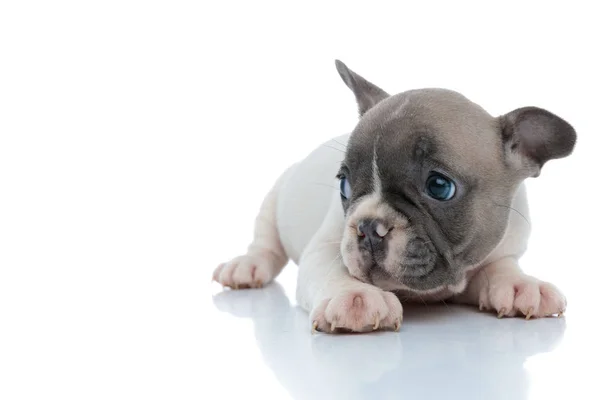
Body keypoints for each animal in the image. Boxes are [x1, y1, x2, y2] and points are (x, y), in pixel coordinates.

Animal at [212, 60, 576, 334]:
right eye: (344, 185)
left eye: (439, 186)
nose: (368, 227)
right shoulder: (326, 246)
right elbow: (332, 267)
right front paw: (355, 295)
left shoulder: (502, 248)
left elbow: (501, 268)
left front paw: (522, 284)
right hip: (274, 198)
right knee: (265, 242)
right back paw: (246, 267)